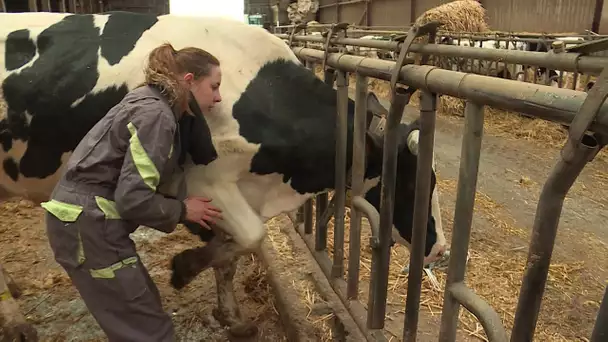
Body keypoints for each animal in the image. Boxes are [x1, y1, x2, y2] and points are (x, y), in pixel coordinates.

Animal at [0, 11, 446, 340]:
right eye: (412, 182)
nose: (439, 249)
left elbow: (231, 253)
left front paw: (231, 316)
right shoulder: (205, 181)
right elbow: (250, 236)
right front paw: (183, 267)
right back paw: (17, 322)